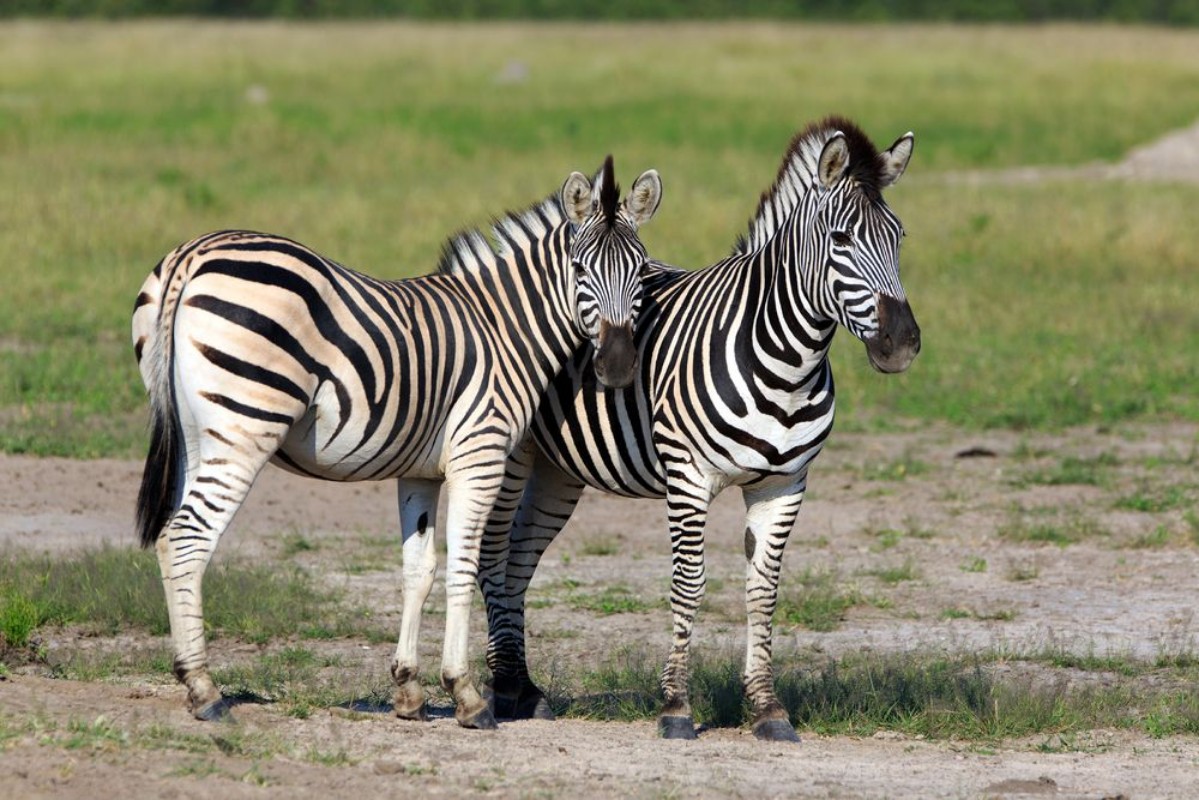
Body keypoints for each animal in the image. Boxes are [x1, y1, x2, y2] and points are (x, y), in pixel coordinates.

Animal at [131, 156, 663, 729]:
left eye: (640, 273)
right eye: (580, 271)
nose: (617, 366)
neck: (505, 329)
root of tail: (194, 252)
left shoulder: (419, 471)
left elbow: (419, 570)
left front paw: (408, 689)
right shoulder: (480, 456)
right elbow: (463, 566)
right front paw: (466, 694)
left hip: (195, 435)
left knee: (171, 538)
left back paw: (190, 678)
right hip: (245, 426)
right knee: (186, 539)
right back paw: (204, 689)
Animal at [478, 117, 919, 741]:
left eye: (899, 237)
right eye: (840, 241)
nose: (901, 344)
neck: (785, 359)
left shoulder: (784, 485)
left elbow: (763, 591)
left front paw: (766, 707)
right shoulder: (688, 477)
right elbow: (689, 586)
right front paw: (676, 707)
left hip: (558, 469)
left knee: (518, 558)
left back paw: (523, 688)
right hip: (512, 456)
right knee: (492, 554)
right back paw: (501, 687)